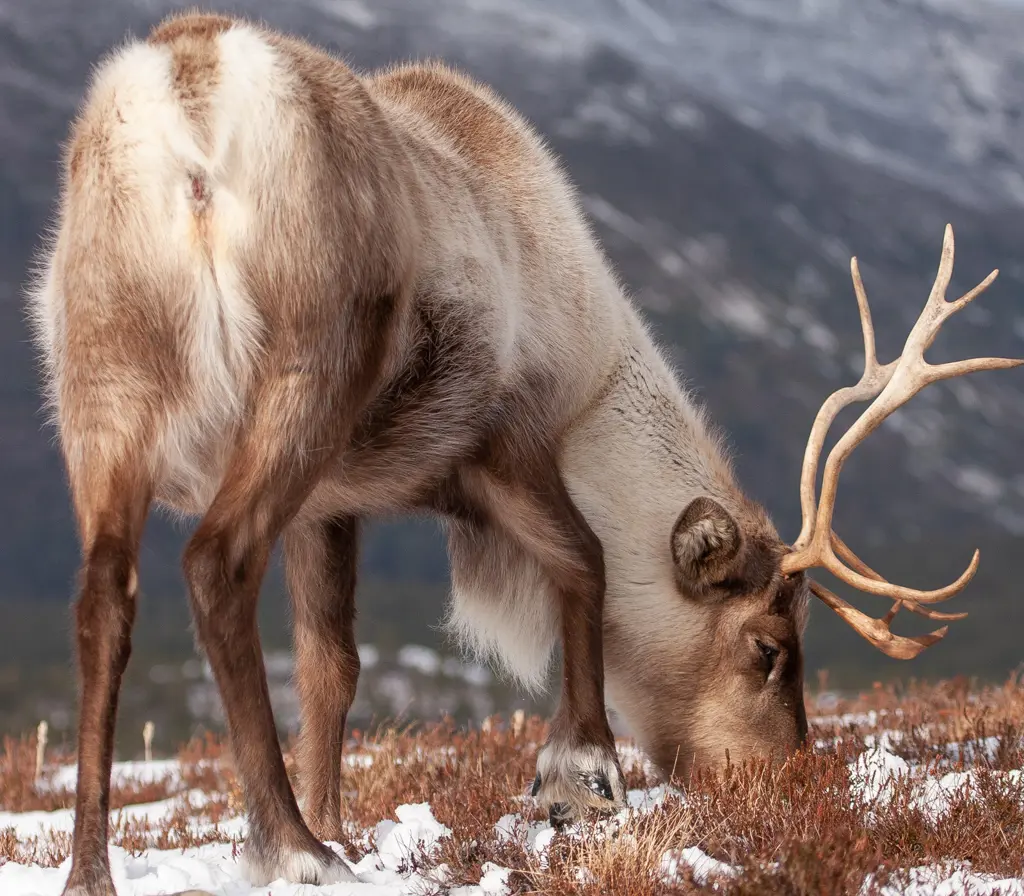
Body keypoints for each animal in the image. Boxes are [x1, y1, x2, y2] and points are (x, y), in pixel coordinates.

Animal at [27, 10, 1021, 895]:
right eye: (768, 647)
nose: (790, 780)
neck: (593, 388)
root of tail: (191, 90)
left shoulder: (334, 504)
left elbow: (331, 666)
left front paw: (344, 818)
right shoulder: (505, 442)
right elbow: (585, 564)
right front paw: (580, 776)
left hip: (101, 384)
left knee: (102, 598)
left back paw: (93, 870)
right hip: (307, 367)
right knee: (215, 563)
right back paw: (292, 849)